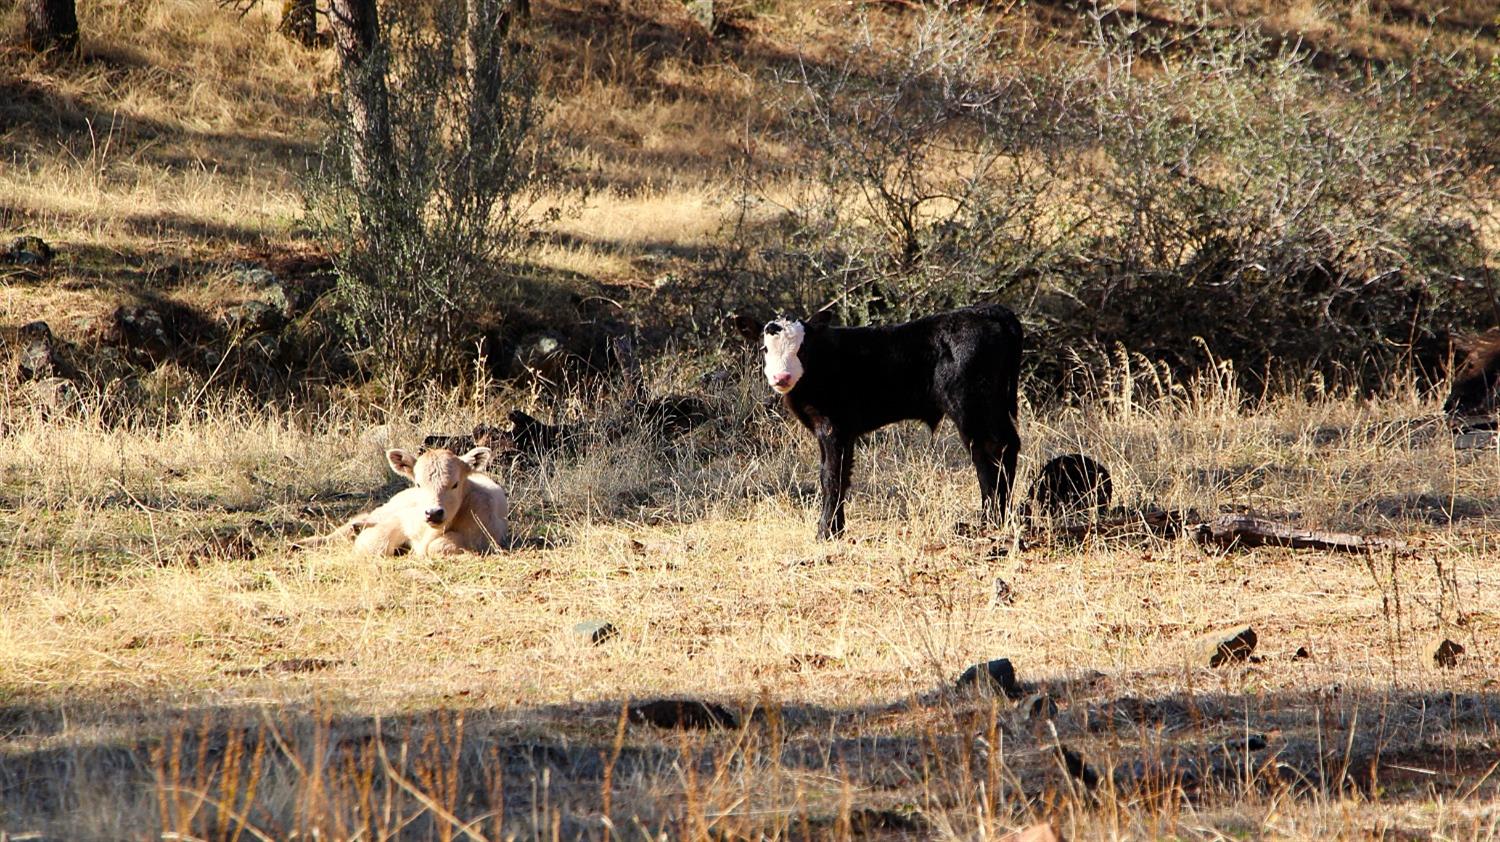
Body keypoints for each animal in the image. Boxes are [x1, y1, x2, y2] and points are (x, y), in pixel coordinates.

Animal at [297, 447, 510, 558]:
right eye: (418, 483)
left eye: (455, 484)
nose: (433, 512)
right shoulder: (401, 519)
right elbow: (374, 543)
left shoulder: (484, 538)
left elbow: (437, 546)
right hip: (390, 507)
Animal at [732, 304, 1026, 534]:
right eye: (764, 348)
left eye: (802, 349)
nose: (781, 377)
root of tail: (988, 311)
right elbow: (835, 473)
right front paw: (836, 528)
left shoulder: (834, 427)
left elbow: (831, 476)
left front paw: (826, 532)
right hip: (992, 406)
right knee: (1005, 446)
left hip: (972, 407)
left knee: (990, 450)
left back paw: (990, 519)